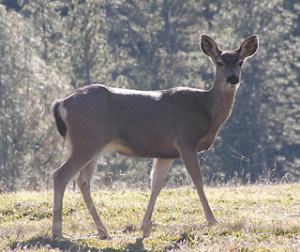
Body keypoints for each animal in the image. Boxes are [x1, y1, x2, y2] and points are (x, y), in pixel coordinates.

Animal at [51, 34, 258, 238]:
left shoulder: (166, 153)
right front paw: (212, 221)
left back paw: (103, 231)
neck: (206, 109)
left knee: (83, 181)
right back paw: (58, 232)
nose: (233, 78)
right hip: (87, 140)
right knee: (60, 174)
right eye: (219, 62)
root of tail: (61, 103)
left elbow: (156, 185)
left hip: (95, 144)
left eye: (240, 62)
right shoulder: (186, 140)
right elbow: (197, 180)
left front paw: (145, 227)